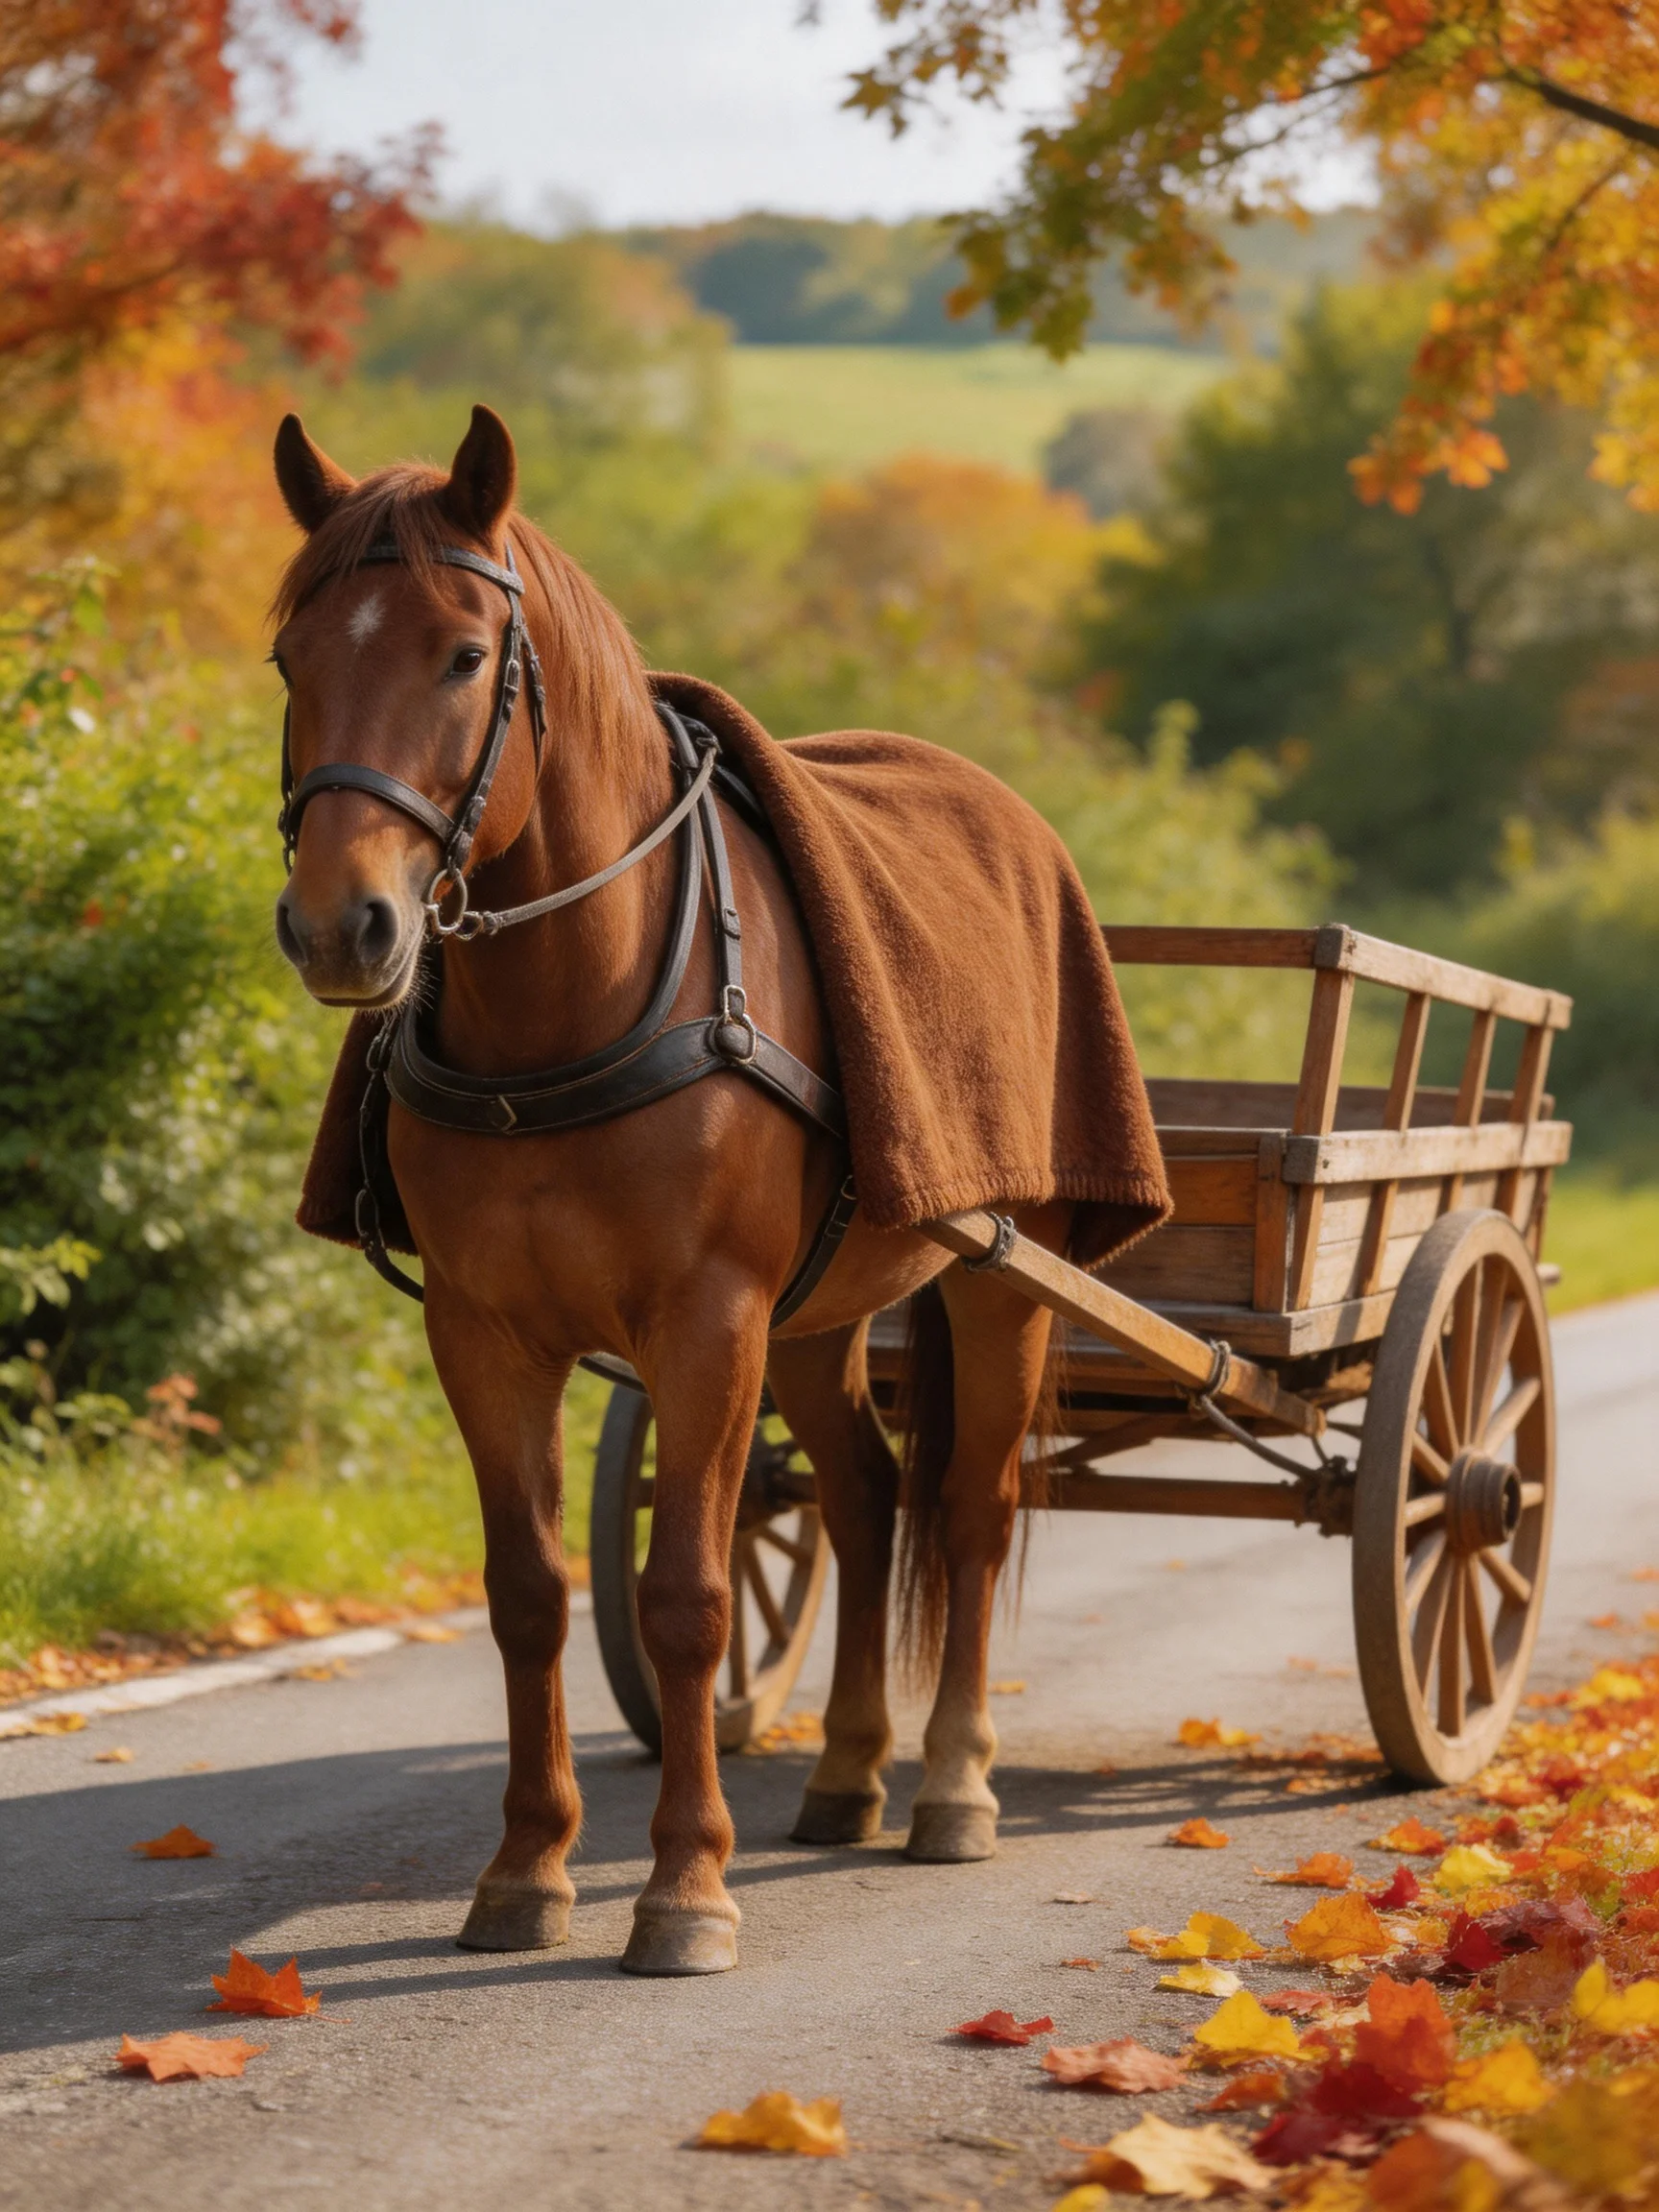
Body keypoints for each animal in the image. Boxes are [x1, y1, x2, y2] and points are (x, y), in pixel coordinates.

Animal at [270, 403, 1073, 1975]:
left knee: (969, 1507)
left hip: (998, 1277)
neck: (565, 1004)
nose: (344, 926)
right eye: (291, 657)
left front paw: (687, 1885)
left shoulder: (709, 1321)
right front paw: (527, 1867)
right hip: (822, 1315)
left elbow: (689, 1598)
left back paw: (953, 1785)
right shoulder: (482, 1331)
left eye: (464, 655)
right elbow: (528, 1595)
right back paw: (846, 1770)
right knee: (864, 1494)